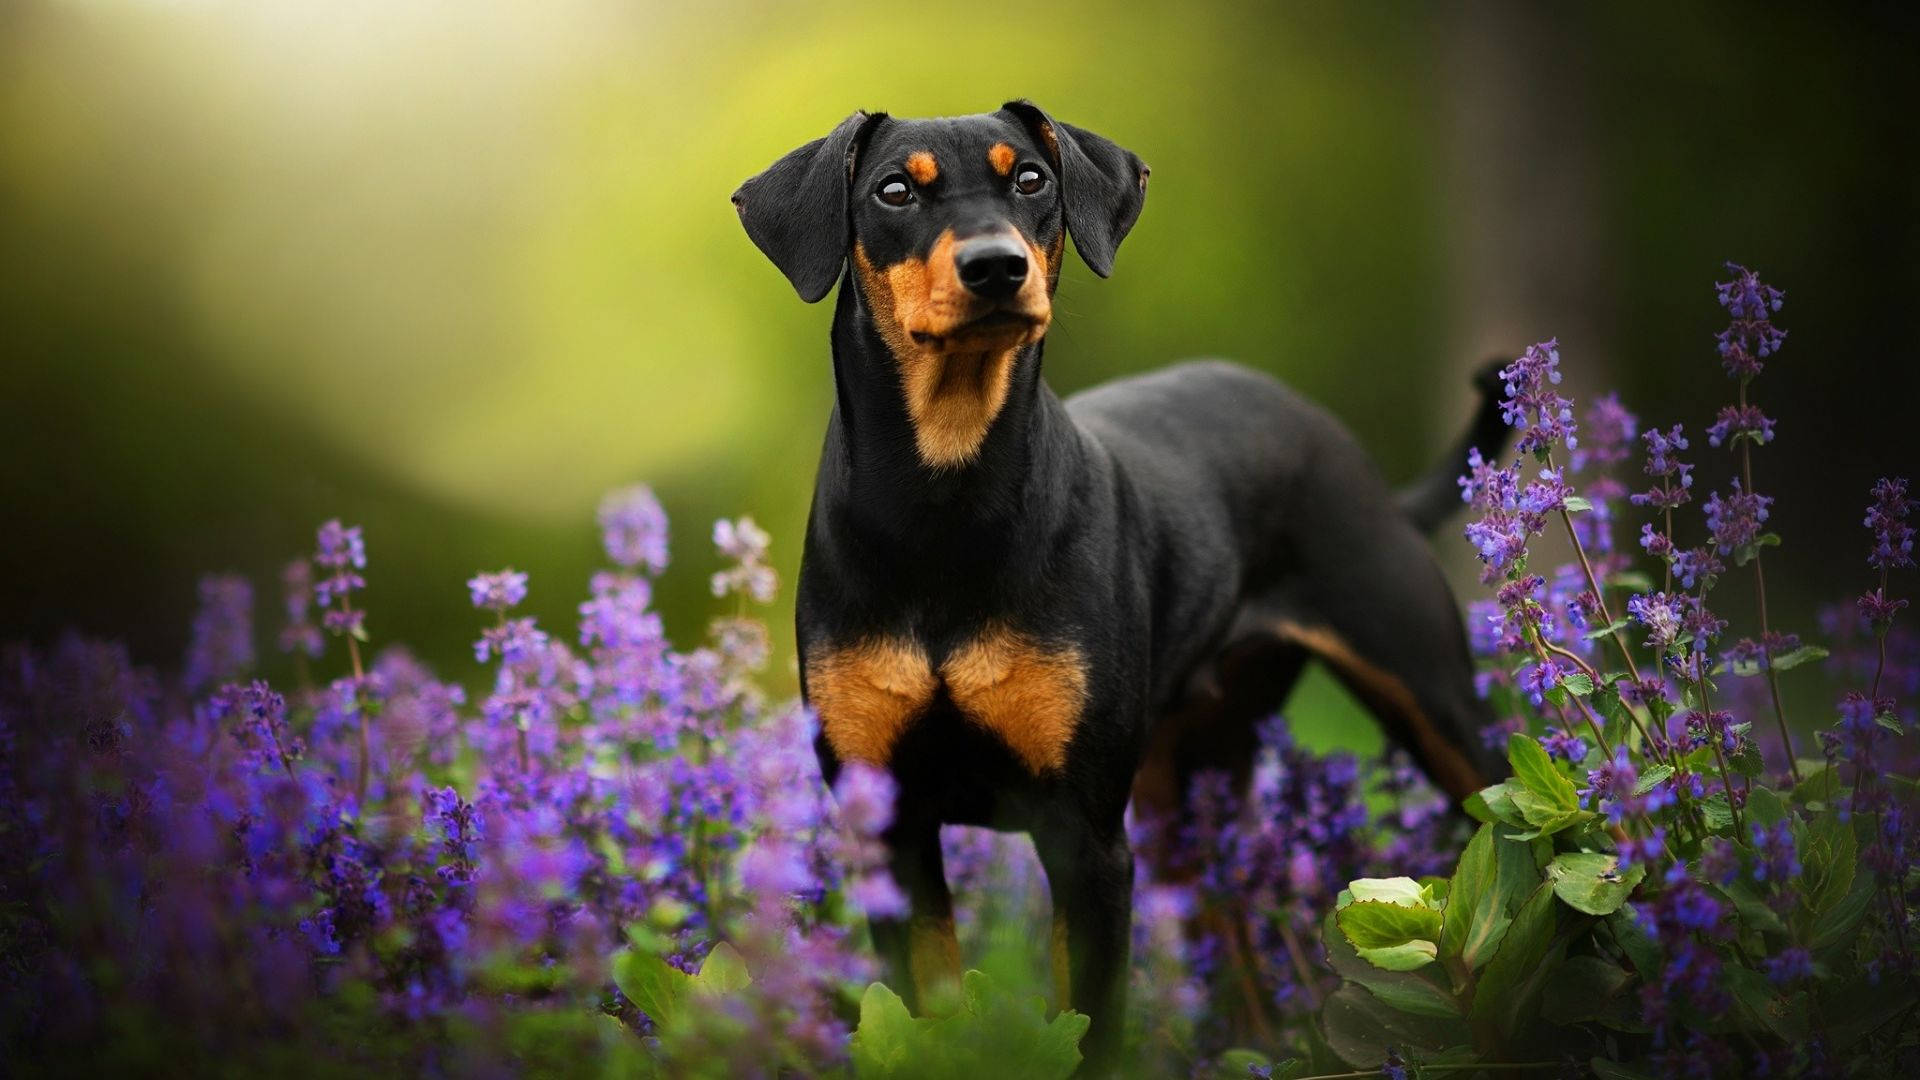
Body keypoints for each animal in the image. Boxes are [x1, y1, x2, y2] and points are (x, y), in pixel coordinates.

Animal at [741, 102, 1505, 1068]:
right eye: (892, 191)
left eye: (1032, 178)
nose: (996, 267)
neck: (941, 503)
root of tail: (1356, 462)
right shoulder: (893, 829)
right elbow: (928, 1012)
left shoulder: (1086, 836)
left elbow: (1090, 1025)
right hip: (1188, 779)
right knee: (1230, 932)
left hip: (1433, 707)